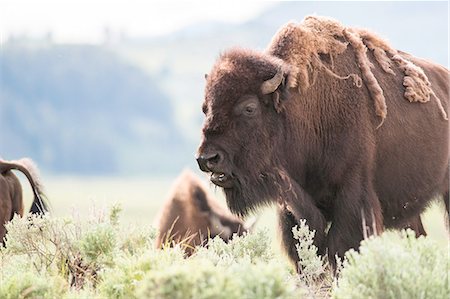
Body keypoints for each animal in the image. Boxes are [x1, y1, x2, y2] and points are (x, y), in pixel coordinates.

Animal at [195, 15, 448, 270]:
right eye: (206, 108)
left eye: (249, 108)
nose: (207, 159)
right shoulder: (293, 206)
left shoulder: (352, 196)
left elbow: (340, 248)